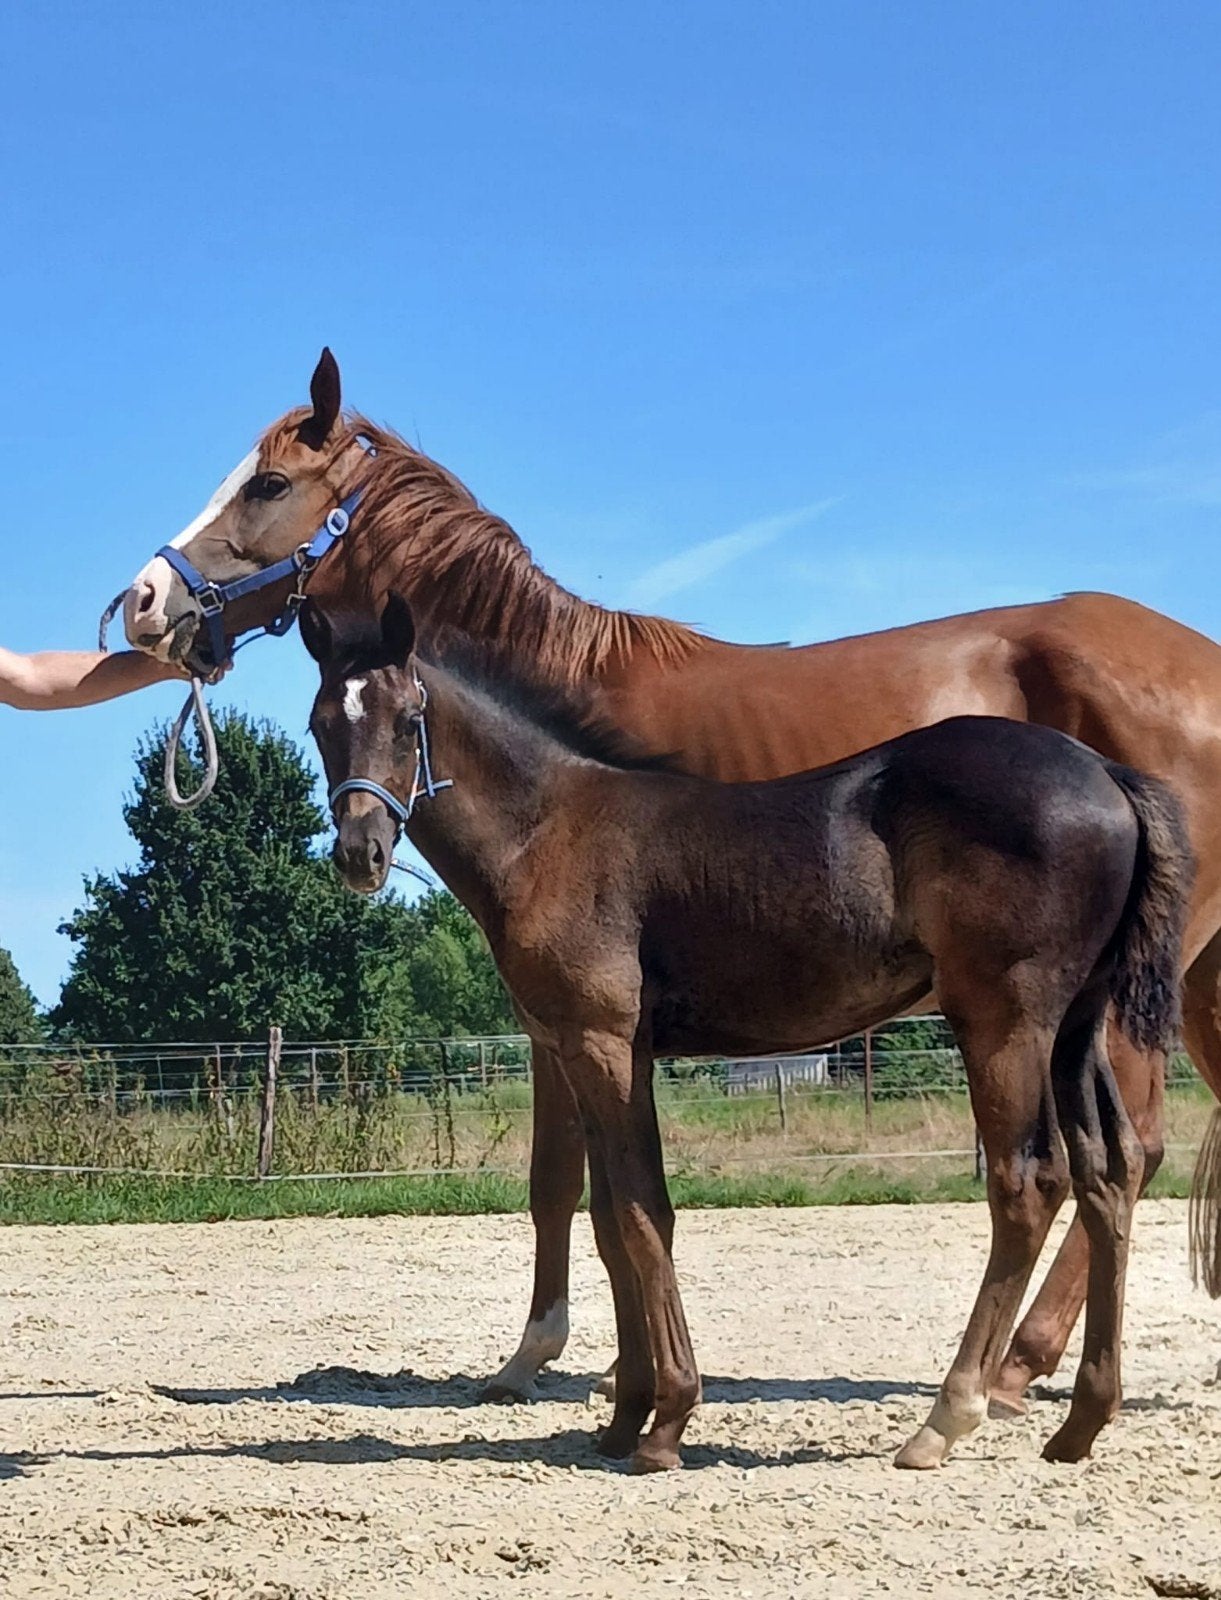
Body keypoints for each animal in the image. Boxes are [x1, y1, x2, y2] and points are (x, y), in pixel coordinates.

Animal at [302, 591, 1192, 1473]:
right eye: (318, 724)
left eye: (407, 716)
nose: (359, 853)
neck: (551, 829)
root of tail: (1106, 775)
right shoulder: (593, 1052)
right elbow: (609, 1217)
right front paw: (623, 1416)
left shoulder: (602, 1043)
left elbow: (642, 1214)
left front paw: (665, 1421)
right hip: (1075, 1028)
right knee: (1107, 1172)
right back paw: (1080, 1422)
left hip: (1005, 1021)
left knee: (1026, 1182)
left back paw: (946, 1417)